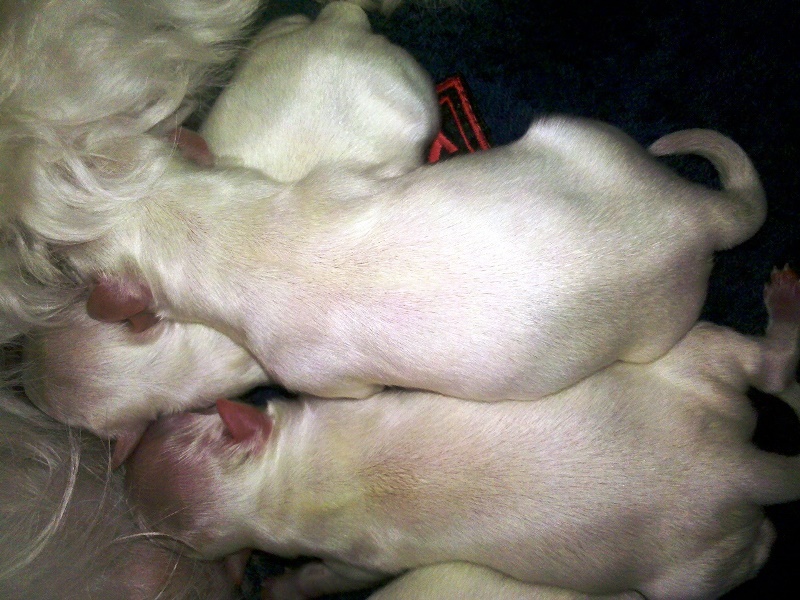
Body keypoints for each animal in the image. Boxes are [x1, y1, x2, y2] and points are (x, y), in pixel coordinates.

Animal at [125, 267, 800, 600]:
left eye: (179, 420)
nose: (126, 451)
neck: (283, 482)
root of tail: (735, 465)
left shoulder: (354, 559)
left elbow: (326, 579)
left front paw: (283, 586)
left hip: (687, 574)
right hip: (692, 366)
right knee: (760, 365)